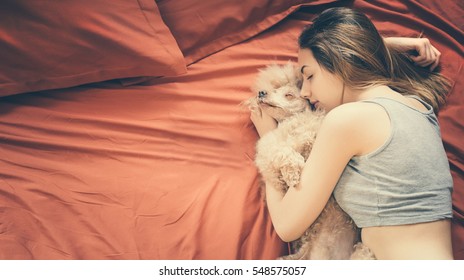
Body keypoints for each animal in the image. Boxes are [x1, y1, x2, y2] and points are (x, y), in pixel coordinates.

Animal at [245, 62, 376, 260]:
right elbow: (283, 152)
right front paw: (293, 171)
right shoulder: (269, 150)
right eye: (274, 89)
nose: (261, 92)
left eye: (289, 95)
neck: (293, 123)